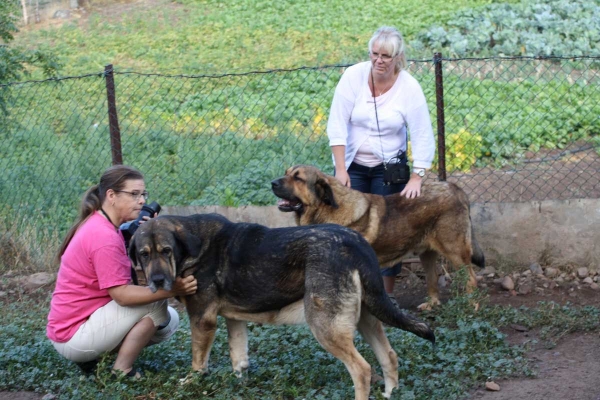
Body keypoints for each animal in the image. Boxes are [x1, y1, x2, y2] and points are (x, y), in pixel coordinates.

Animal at [129, 214, 434, 398]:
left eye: (166, 251)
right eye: (143, 255)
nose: (157, 281)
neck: (192, 247)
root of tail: (356, 243)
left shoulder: (202, 320)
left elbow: (197, 364)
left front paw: (192, 383)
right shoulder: (234, 320)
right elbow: (239, 358)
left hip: (326, 326)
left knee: (362, 369)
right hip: (366, 318)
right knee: (389, 356)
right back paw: (391, 393)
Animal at [272, 165, 488, 310]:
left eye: (298, 178)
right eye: (286, 172)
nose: (272, 182)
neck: (326, 210)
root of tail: (455, 188)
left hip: (454, 251)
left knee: (471, 279)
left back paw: (472, 307)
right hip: (427, 253)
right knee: (433, 278)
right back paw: (431, 305)